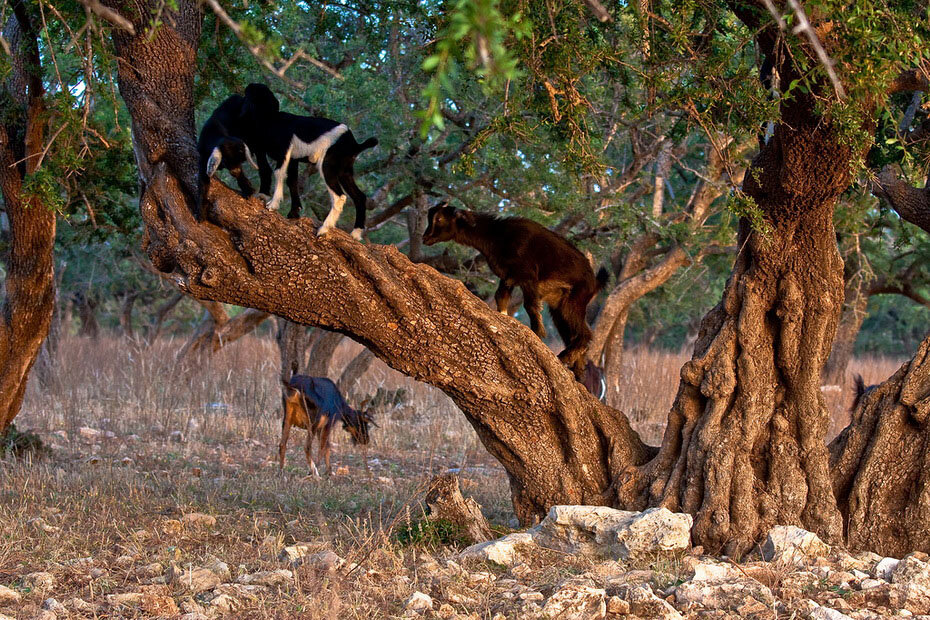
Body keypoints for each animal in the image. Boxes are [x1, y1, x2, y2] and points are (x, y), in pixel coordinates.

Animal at [239, 82, 376, 237]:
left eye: (248, 94)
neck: (272, 120)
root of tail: (355, 144)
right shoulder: (293, 159)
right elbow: (292, 181)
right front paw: (293, 213)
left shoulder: (284, 152)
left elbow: (279, 173)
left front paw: (273, 205)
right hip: (344, 171)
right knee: (359, 196)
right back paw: (355, 234)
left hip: (327, 166)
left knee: (339, 196)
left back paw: (323, 229)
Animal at [422, 205, 608, 378]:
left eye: (439, 219)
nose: (425, 238)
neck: (497, 235)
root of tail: (595, 282)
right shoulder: (507, 277)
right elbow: (501, 298)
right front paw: (503, 318)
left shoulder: (528, 277)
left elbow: (530, 306)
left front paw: (537, 334)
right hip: (559, 307)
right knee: (573, 335)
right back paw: (577, 370)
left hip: (573, 302)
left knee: (585, 334)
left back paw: (564, 357)